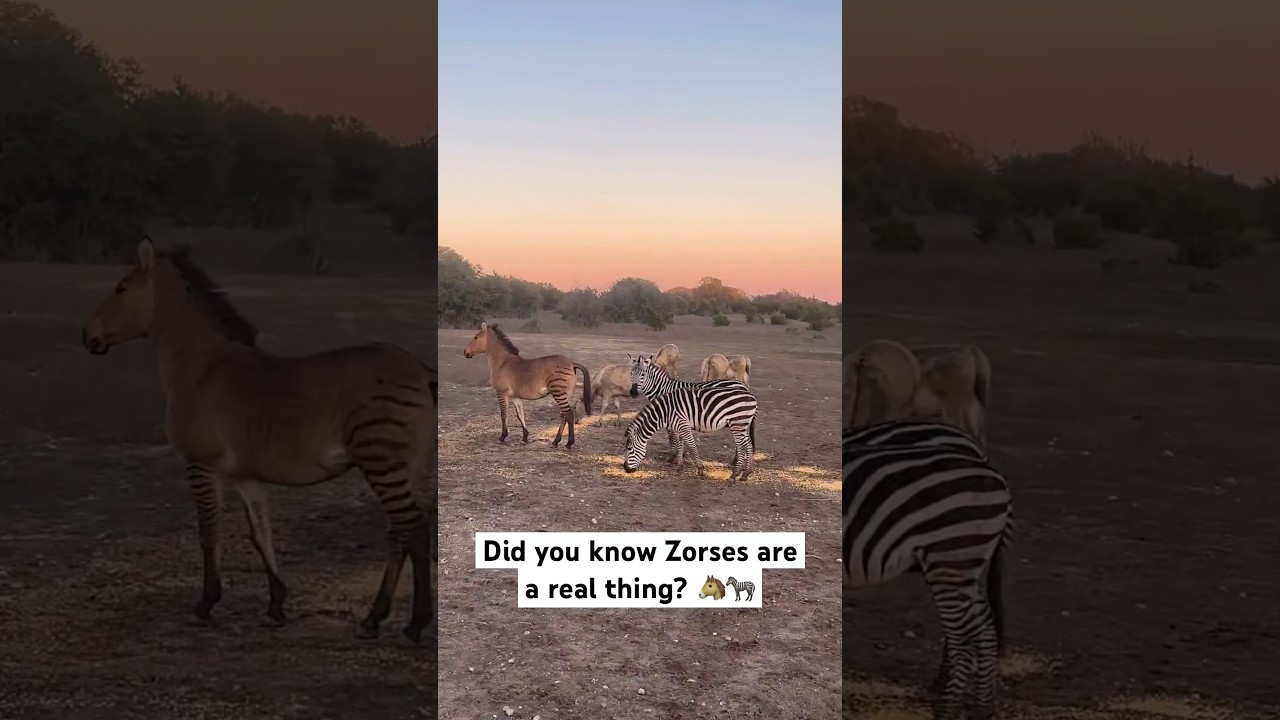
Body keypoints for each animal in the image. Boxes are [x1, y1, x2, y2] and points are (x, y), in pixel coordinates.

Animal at [622, 380, 758, 481]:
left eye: (630, 449)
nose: (626, 469)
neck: (665, 413)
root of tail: (751, 396)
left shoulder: (683, 424)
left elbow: (692, 446)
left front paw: (700, 469)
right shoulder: (679, 426)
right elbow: (680, 444)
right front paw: (679, 467)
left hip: (737, 423)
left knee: (741, 446)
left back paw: (735, 474)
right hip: (743, 424)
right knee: (748, 444)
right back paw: (746, 473)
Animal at [843, 421, 1012, 720]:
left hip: (948, 561)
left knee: (962, 640)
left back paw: (946, 706)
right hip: (963, 566)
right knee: (983, 628)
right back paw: (981, 706)